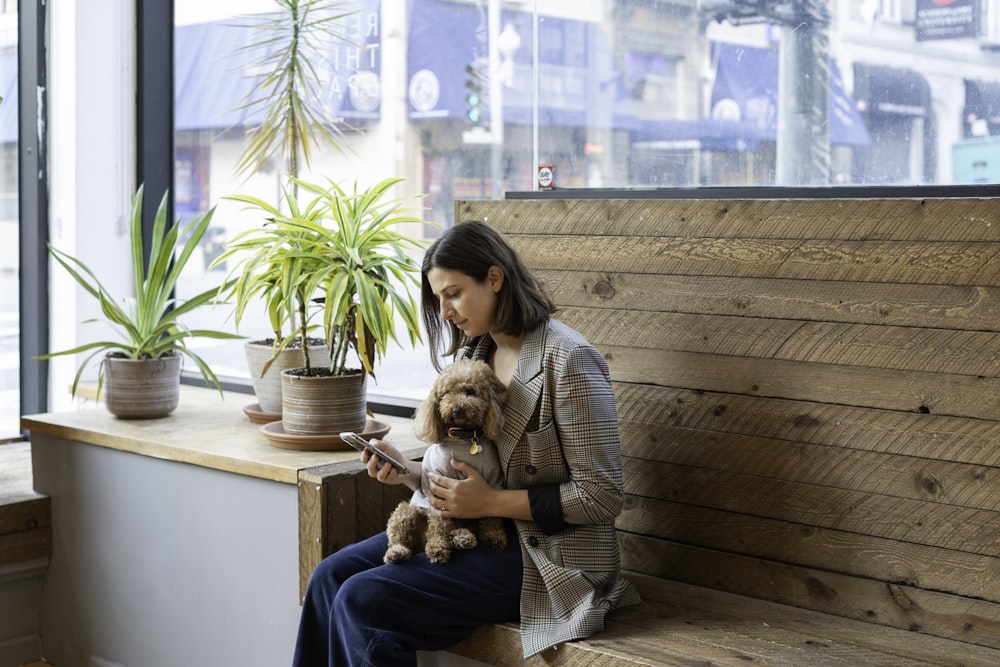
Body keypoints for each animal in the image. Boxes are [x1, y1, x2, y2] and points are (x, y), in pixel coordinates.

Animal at [382, 360, 508, 564]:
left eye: (470, 392)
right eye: (446, 393)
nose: (456, 409)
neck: (465, 437)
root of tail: (419, 543)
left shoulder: (491, 481)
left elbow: (491, 515)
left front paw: (494, 537)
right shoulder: (439, 486)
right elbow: (439, 525)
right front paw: (437, 548)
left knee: (458, 529)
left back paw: (462, 538)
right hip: (406, 511)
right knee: (400, 536)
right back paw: (397, 552)